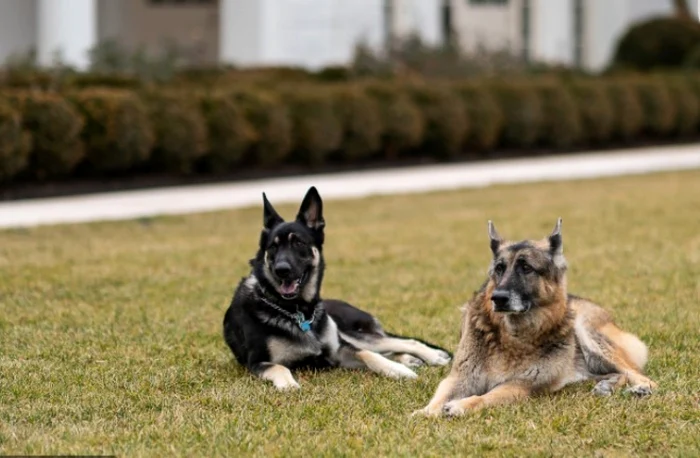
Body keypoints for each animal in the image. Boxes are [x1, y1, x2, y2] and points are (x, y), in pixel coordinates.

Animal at [224, 186, 454, 390]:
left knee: (401, 343)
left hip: (352, 333)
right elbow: (280, 368)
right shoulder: (257, 362)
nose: (282, 270)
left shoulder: (339, 350)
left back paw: (429, 356)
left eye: (299, 243)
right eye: (273, 247)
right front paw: (289, 385)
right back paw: (409, 359)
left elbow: (367, 354)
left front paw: (398, 370)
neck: (298, 312)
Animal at [416, 220, 656, 416]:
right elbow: (441, 396)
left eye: (526, 267)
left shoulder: (520, 385)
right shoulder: (460, 378)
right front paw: (426, 412)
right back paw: (607, 385)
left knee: (639, 375)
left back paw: (641, 388)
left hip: (588, 333)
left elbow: (486, 397)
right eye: (500, 268)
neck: (511, 336)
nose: (498, 298)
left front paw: (460, 405)